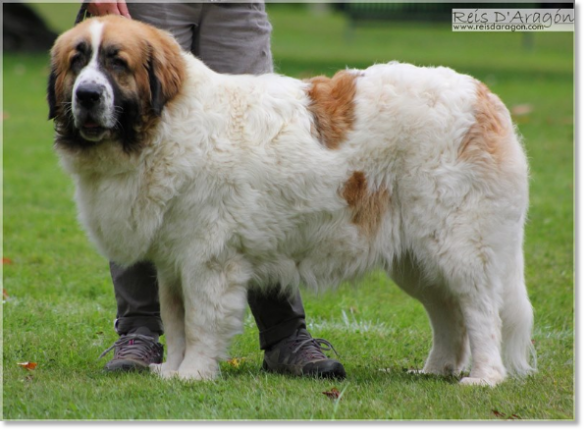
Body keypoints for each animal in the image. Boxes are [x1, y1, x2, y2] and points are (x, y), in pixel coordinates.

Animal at [49, 16, 532, 384]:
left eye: (117, 62)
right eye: (78, 61)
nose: (87, 95)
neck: (165, 123)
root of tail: (485, 96)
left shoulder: (207, 260)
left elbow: (201, 322)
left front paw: (193, 374)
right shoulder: (172, 262)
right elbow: (176, 319)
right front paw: (172, 369)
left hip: (457, 244)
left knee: (481, 310)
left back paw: (485, 377)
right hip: (417, 258)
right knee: (449, 313)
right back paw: (435, 370)